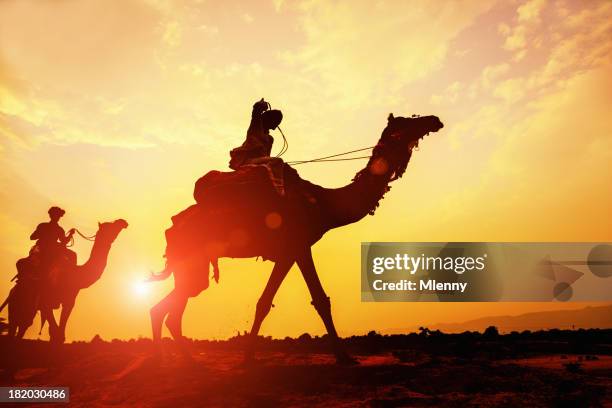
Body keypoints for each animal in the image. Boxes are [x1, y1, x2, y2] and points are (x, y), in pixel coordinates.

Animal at [0, 218, 128, 342]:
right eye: (109, 225)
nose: (123, 222)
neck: (74, 274)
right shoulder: (45, 300)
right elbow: (55, 332)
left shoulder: (69, 300)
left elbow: (58, 333)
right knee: (17, 325)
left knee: (22, 326)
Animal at [150, 112, 442, 364]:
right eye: (406, 122)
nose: (434, 120)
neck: (324, 203)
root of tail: (171, 228)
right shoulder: (298, 245)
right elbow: (313, 300)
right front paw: (344, 357)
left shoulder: (290, 251)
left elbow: (269, 301)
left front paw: (249, 356)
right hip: (192, 263)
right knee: (171, 310)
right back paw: (181, 363)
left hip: (190, 267)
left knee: (164, 309)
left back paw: (174, 361)